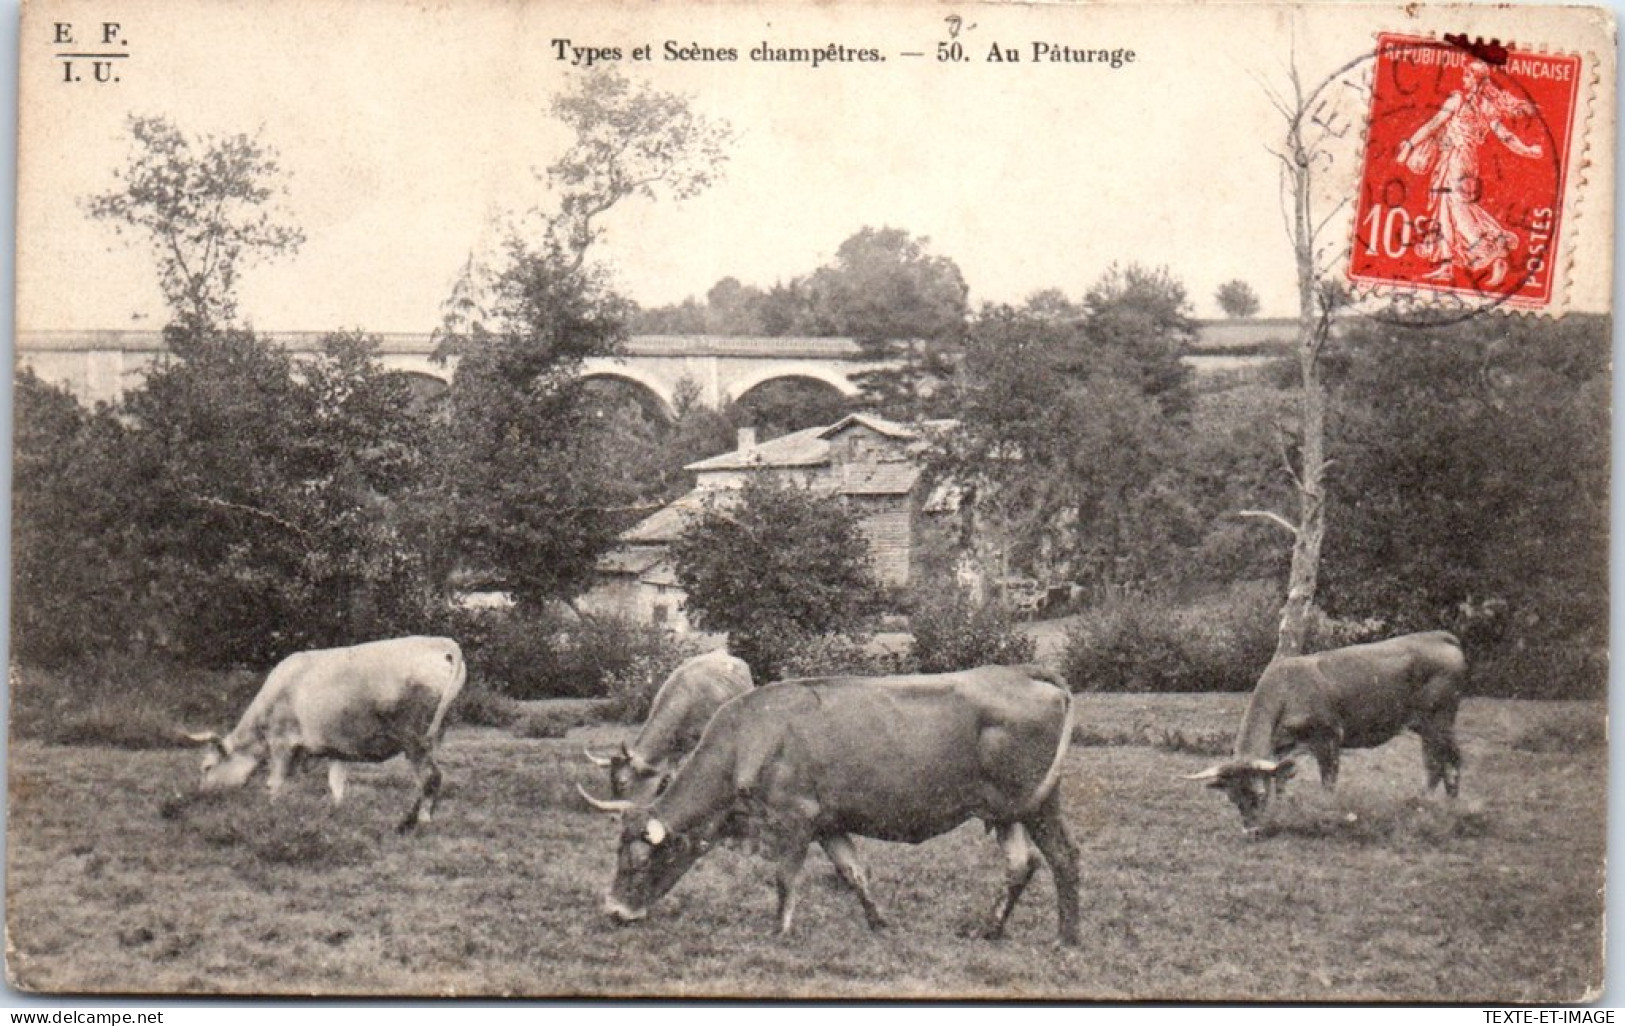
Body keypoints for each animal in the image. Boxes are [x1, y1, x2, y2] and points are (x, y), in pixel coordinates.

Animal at [578, 666, 1085, 949]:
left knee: (1064, 857)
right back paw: (990, 929)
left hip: (1038, 803)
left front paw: (779, 932)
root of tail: (1022, 671)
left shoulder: (793, 819)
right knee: (1022, 865)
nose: (614, 911)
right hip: (1007, 812)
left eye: (638, 862)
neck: (749, 738)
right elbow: (852, 872)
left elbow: (785, 877)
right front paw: (879, 922)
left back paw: (1066, 938)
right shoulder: (827, 824)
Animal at [1189, 627, 1469, 832]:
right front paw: (1282, 811)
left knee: (1442, 763)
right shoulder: (1282, 749)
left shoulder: (1329, 737)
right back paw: (1440, 805)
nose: (1252, 830)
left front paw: (1327, 815)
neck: (1287, 692)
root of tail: (1441, 635)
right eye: (1232, 798)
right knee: (1442, 761)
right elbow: (1280, 779)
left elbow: (1328, 783)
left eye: (1258, 794)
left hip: (1438, 719)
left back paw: (1429, 806)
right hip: (1428, 724)